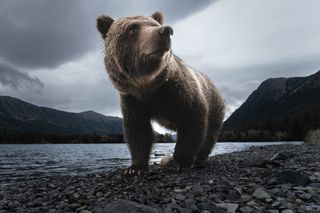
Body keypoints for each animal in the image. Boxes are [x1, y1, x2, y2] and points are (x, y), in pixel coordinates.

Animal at [97, 12, 225, 177]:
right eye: (133, 28)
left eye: (154, 24)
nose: (166, 30)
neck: (148, 86)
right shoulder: (133, 100)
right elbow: (138, 132)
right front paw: (134, 168)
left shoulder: (177, 92)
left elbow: (192, 121)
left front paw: (180, 161)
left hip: (215, 108)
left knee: (209, 135)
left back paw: (199, 160)